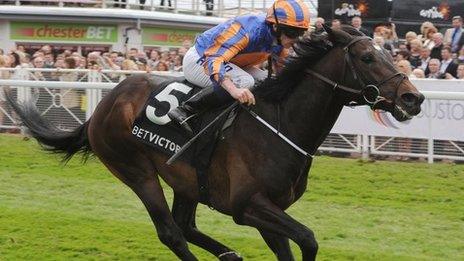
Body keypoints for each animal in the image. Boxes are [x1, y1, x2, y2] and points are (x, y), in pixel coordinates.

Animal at [6, 26, 424, 260]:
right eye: (367, 57)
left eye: (390, 52)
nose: (413, 97)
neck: (281, 124)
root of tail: (103, 106)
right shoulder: (247, 205)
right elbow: (308, 239)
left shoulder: (269, 208)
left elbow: (291, 246)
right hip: (136, 171)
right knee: (171, 233)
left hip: (186, 178)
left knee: (185, 224)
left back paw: (229, 254)